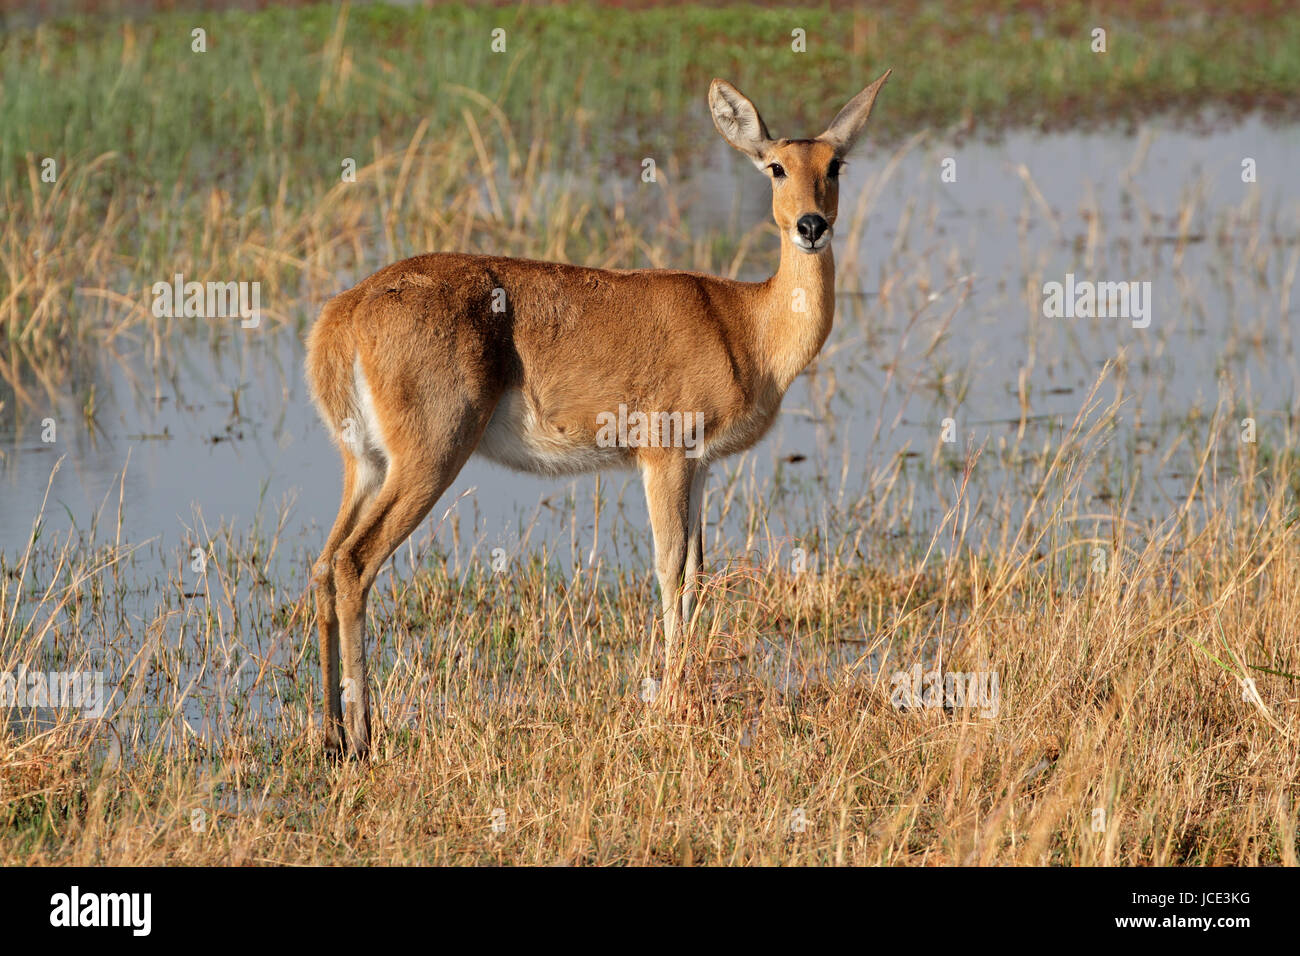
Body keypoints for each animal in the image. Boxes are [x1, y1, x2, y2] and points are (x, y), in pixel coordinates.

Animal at [305, 69, 894, 754]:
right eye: (775, 166)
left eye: (835, 164)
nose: (810, 225)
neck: (745, 325)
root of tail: (345, 313)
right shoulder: (663, 457)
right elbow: (669, 571)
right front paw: (671, 702)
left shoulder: (700, 466)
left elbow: (697, 573)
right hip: (429, 457)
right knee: (354, 563)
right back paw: (364, 736)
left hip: (367, 464)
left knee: (323, 564)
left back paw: (331, 735)